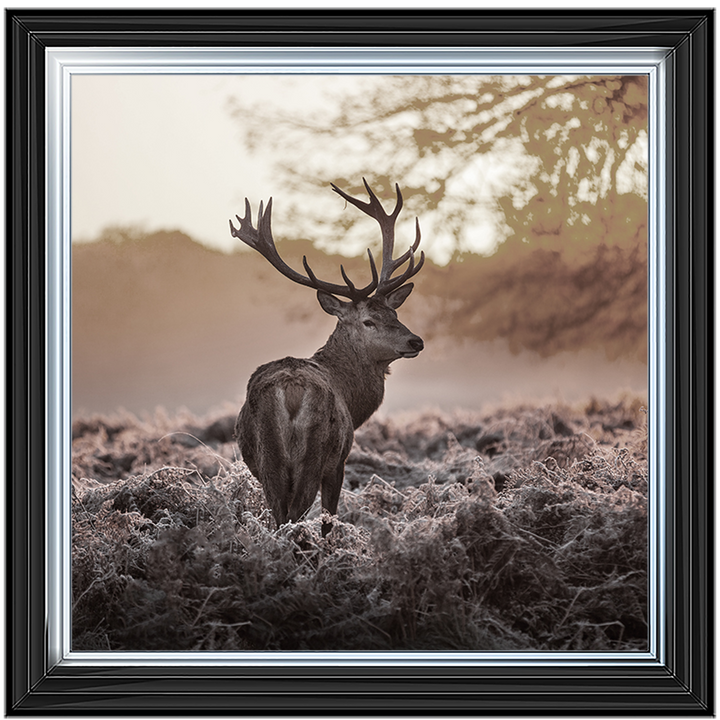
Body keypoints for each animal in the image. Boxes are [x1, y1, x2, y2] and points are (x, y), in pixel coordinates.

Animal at [230, 179, 425, 537]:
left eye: (394, 313)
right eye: (368, 321)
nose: (415, 340)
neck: (352, 398)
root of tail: (290, 390)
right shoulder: (339, 461)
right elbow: (328, 519)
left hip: (268, 459)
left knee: (279, 514)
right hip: (315, 453)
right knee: (295, 514)